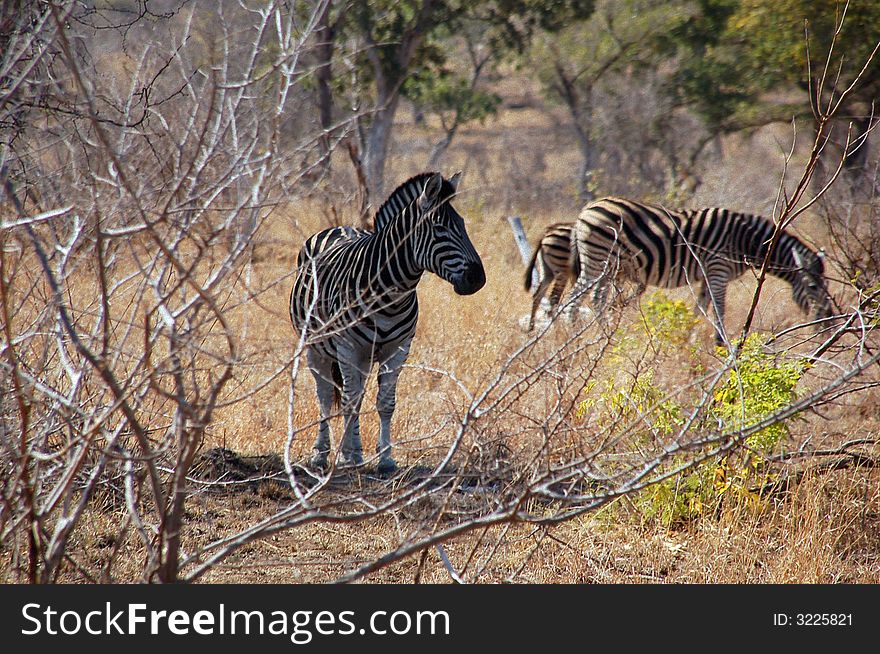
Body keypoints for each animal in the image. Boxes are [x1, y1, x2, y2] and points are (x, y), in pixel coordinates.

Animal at [288, 172, 484, 474]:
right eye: (440, 228)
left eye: (463, 225)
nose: (478, 279)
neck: (390, 294)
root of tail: (340, 227)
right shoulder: (347, 347)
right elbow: (347, 401)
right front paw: (348, 456)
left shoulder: (399, 348)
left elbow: (385, 403)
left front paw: (385, 459)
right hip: (316, 345)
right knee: (326, 395)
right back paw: (323, 453)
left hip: (364, 357)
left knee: (353, 393)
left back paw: (351, 452)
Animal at [572, 197, 832, 346]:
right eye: (813, 287)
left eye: (827, 286)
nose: (828, 326)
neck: (746, 241)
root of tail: (587, 209)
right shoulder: (718, 269)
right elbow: (718, 307)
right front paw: (721, 343)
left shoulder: (708, 273)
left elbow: (700, 307)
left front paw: (688, 338)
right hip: (598, 260)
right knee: (578, 298)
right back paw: (579, 335)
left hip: (608, 267)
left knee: (595, 298)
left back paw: (598, 334)